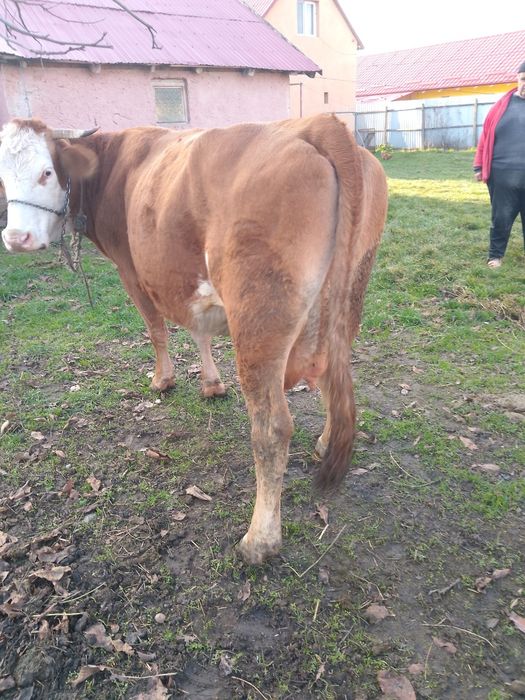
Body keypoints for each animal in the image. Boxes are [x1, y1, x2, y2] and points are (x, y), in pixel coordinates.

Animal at [0, 114, 387, 564]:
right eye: (3, 177)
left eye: (47, 171)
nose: (16, 238)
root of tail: (318, 125)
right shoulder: (180, 275)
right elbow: (197, 329)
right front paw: (211, 384)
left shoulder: (132, 271)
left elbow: (157, 329)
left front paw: (163, 380)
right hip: (345, 303)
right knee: (332, 379)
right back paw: (325, 441)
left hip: (258, 318)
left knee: (272, 429)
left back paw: (259, 540)